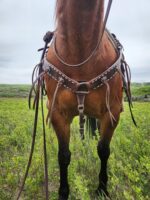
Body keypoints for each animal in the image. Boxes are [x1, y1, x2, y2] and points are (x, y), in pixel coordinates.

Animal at [43, 0, 123, 198]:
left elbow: (103, 150)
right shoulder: (57, 113)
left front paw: (102, 189)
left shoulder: (112, 112)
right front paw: (63, 192)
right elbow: (63, 155)